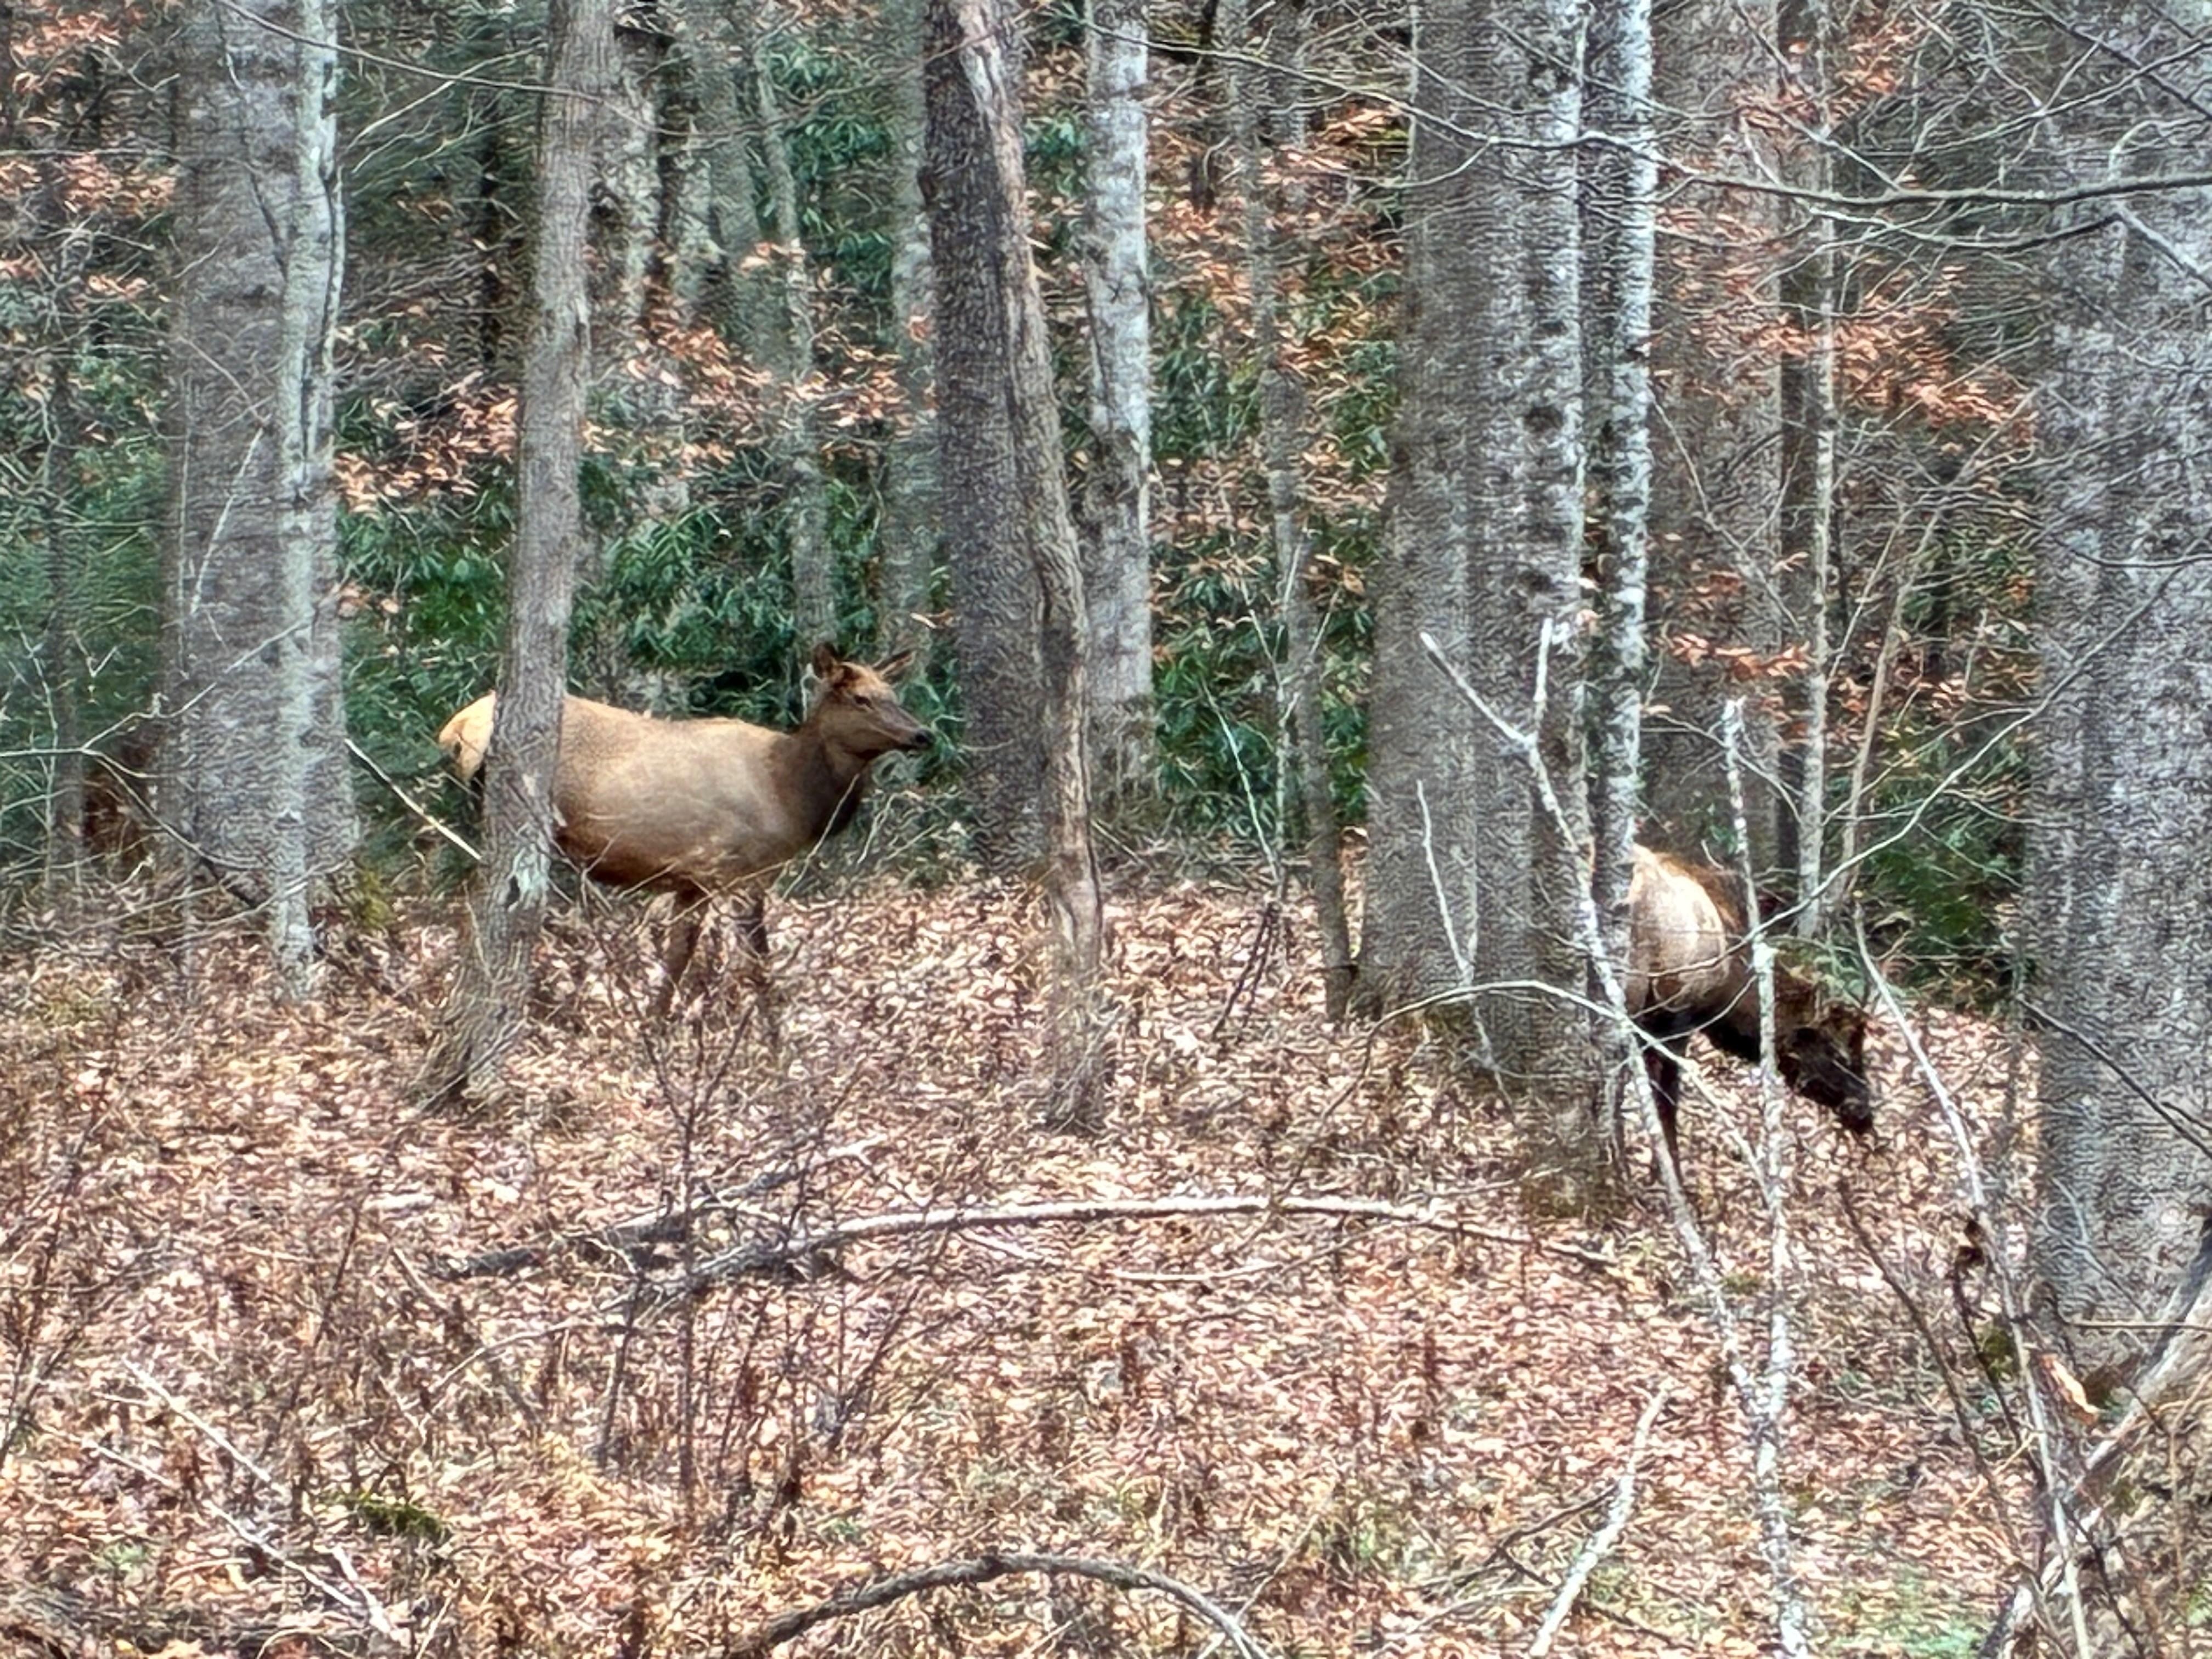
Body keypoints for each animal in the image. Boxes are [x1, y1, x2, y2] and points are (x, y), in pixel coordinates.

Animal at [439, 644, 930, 1030]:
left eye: (893, 694)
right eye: (861, 699)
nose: (924, 733)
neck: (792, 794)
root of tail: (454, 728)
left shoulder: (693, 879)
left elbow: (679, 956)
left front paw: (654, 1031)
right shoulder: (740, 870)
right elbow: (758, 965)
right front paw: (775, 1051)